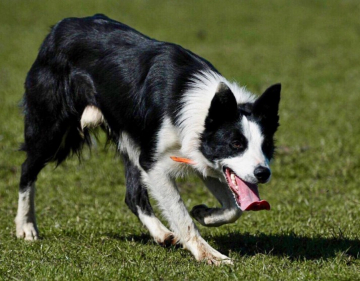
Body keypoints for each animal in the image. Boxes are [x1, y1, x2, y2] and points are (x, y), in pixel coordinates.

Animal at [15, 14, 282, 264]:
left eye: (267, 146)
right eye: (236, 144)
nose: (263, 173)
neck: (201, 107)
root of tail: (60, 26)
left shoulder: (199, 155)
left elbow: (234, 208)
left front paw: (204, 213)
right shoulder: (154, 164)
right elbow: (182, 215)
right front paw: (210, 256)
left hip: (128, 141)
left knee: (132, 196)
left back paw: (161, 233)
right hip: (52, 131)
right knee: (27, 169)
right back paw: (25, 227)